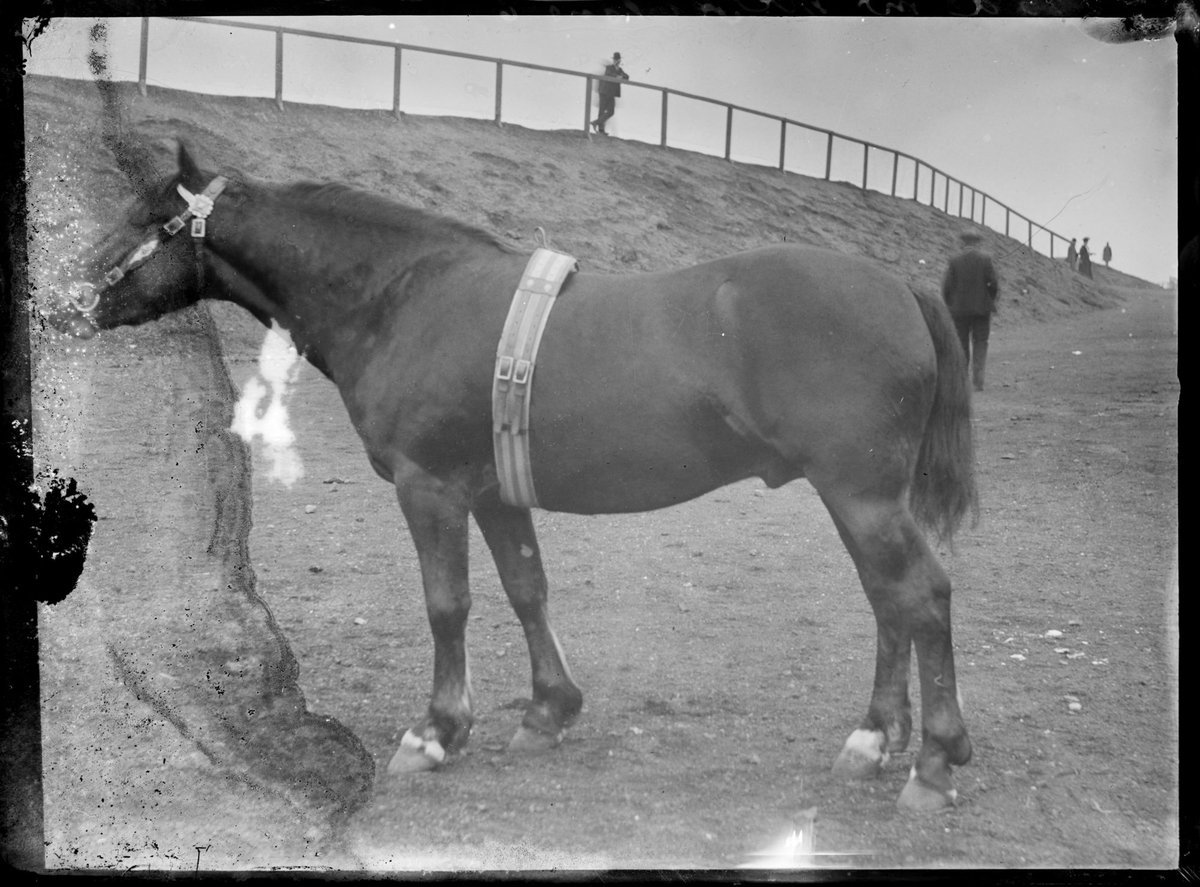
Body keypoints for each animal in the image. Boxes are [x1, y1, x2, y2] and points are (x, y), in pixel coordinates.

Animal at [61, 140, 978, 812]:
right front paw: (548, 711)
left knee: (923, 596)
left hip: (861, 495)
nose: (66, 298)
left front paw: (436, 732)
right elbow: (527, 587)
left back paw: (931, 759)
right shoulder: (496, 492)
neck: (404, 295)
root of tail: (901, 285)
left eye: (150, 217)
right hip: (860, 500)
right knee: (891, 603)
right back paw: (876, 739)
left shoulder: (429, 487)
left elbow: (449, 603)